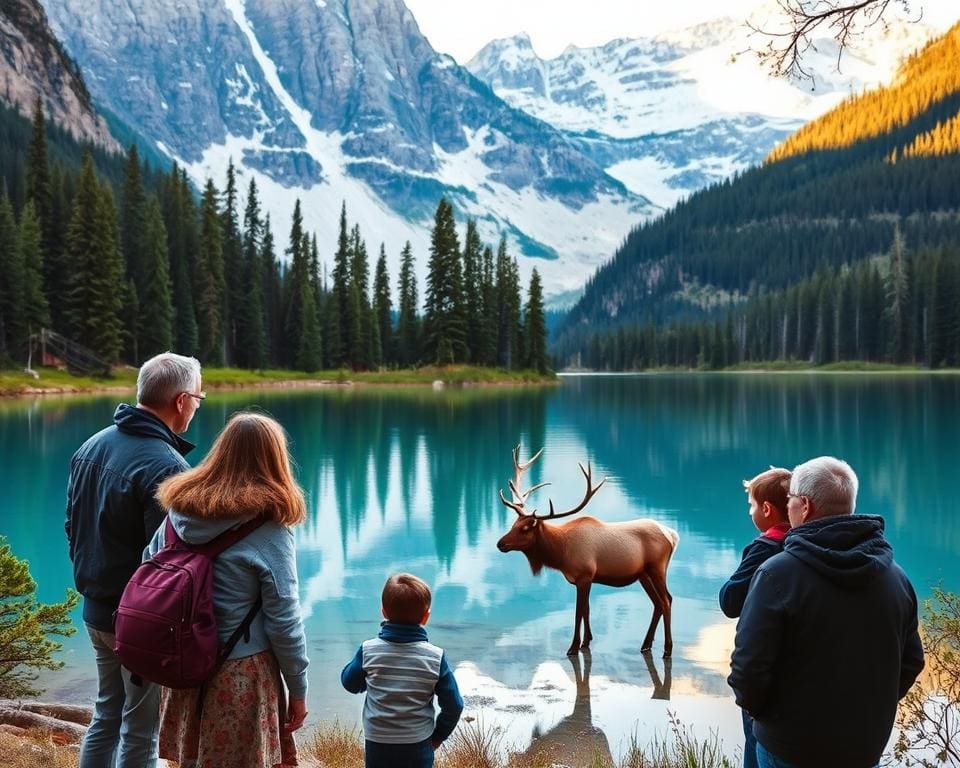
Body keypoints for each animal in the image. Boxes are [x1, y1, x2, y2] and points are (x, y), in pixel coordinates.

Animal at [498, 448, 680, 656]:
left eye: (525, 528)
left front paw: (573, 646)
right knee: (657, 603)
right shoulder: (586, 579)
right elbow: (587, 609)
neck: (561, 553)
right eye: (514, 524)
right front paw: (586, 641)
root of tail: (672, 535)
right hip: (643, 574)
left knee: (666, 600)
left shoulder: (584, 575)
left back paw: (667, 649)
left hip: (657, 568)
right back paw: (646, 644)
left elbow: (579, 612)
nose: (500, 544)